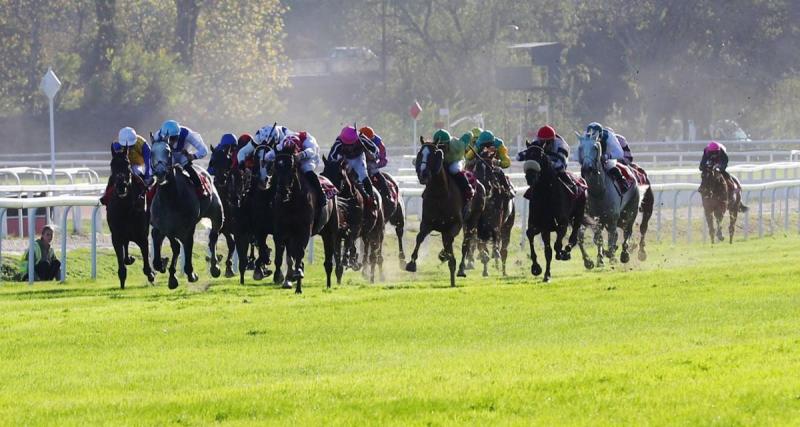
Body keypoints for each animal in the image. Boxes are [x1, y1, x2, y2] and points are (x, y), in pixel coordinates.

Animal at [104, 147, 152, 290]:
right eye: (112, 165)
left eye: (127, 164)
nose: (121, 186)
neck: (125, 208)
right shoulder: (116, 236)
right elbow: (121, 261)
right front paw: (122, 278)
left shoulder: (142, 235)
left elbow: (146, 257)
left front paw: (151, 274)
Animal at [148, 139, 223, 290]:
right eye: (152, 152)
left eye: (168, 151)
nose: (160, 173)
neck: (171, 198)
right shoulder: (165, 227)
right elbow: (174, 246)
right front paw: (169, 272)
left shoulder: (188, 225)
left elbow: (186, 245)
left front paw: (190, 273)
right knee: (159, 237)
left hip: (216, 213)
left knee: (212, 237)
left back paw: (214, 267)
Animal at [272, 145, 340, 292]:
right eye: (276, 166)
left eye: (292, 167)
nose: (283, 192)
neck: (292, 202)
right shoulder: (281, 230)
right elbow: (281, 254)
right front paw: (280, 276)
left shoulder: (304, 231)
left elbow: (299, 254)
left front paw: (298, 276)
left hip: (330, 232)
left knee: (328, 261)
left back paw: (328, 284)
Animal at [404, 140, 484, 288]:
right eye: (419, 154)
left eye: (435, 154)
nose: (423, 174)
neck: (439, 194)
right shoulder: (427, 223)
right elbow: (419, 237)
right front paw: (411, 264)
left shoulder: (454, 225)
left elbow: (449, 241)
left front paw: (446, 257)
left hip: (472, 220)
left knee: (465, 243)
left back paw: (461, 269)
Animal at [520, 145, 592, 282]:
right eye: (526, 156)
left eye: (540, 156)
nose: (530, 177)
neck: (545, 195)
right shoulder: (542, 226)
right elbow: (540, 244)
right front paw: (539, 270)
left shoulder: (561, 223)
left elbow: (557, 245)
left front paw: (562, 254)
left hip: (578, 214)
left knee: (575, 237)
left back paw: (576, 255)